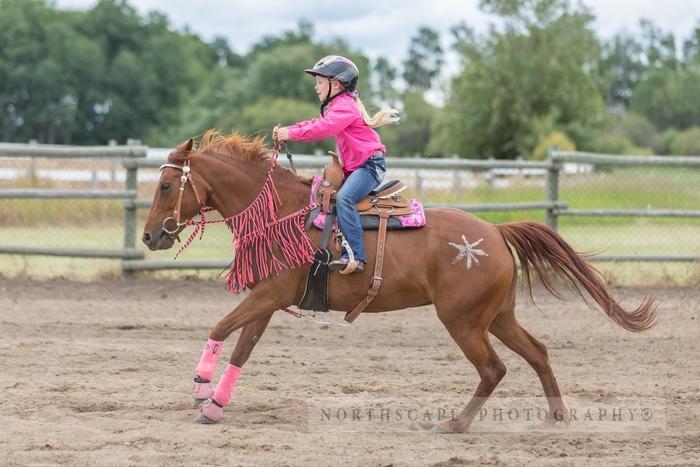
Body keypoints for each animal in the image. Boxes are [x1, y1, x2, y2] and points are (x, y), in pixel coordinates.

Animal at [142, 132, 656, 432]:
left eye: (166, 186)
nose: (150, 236)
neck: (281, 211)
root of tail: (495, 232)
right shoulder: (267, 300)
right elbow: (242, 347)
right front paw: (214, 405)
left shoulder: (269, 294)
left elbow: (220, 328)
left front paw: (200, 386)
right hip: (497, 317)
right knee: (538, 353)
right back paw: (556, 416)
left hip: (463, 321)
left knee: (494, 369)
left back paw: (455, 424)